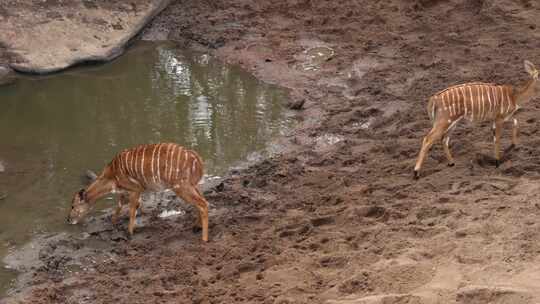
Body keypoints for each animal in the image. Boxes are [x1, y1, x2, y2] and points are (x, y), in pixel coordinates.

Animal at [66, 143, 210, 242]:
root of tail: (197, 159)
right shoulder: (126, 191)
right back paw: (196, 227)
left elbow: (132, 210)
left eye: (73, 206)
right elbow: (119, 205)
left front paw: (129, 233)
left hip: (181, 186)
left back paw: (204, 239)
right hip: (192, 185)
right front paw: (113, 222)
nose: (68, 220)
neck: (111, 175)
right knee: (203, 201)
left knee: (202, 204)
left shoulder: (135, 188)